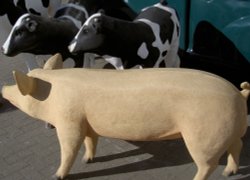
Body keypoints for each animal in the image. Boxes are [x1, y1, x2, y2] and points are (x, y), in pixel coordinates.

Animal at [1, 53, 250, 180]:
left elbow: (69, 148)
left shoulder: (69, 121)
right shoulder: (87, 122)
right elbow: (91, 141)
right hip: (228, 129)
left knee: (208, 164)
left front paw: (56, 176)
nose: (3, 88)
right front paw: (88, 160)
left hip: (203, 136)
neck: (52, 94)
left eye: (20, 88)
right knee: (236, 146)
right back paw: (229, 172)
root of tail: (239, 94)